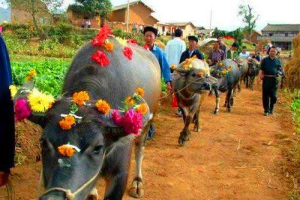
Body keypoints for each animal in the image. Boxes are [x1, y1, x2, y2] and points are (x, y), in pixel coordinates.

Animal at [26, 37, 163, 198]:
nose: (54, 198)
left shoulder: (120, 172)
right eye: (43, 142)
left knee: (140, 150)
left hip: (147, 125)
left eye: (98, 148)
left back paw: (137, 183)